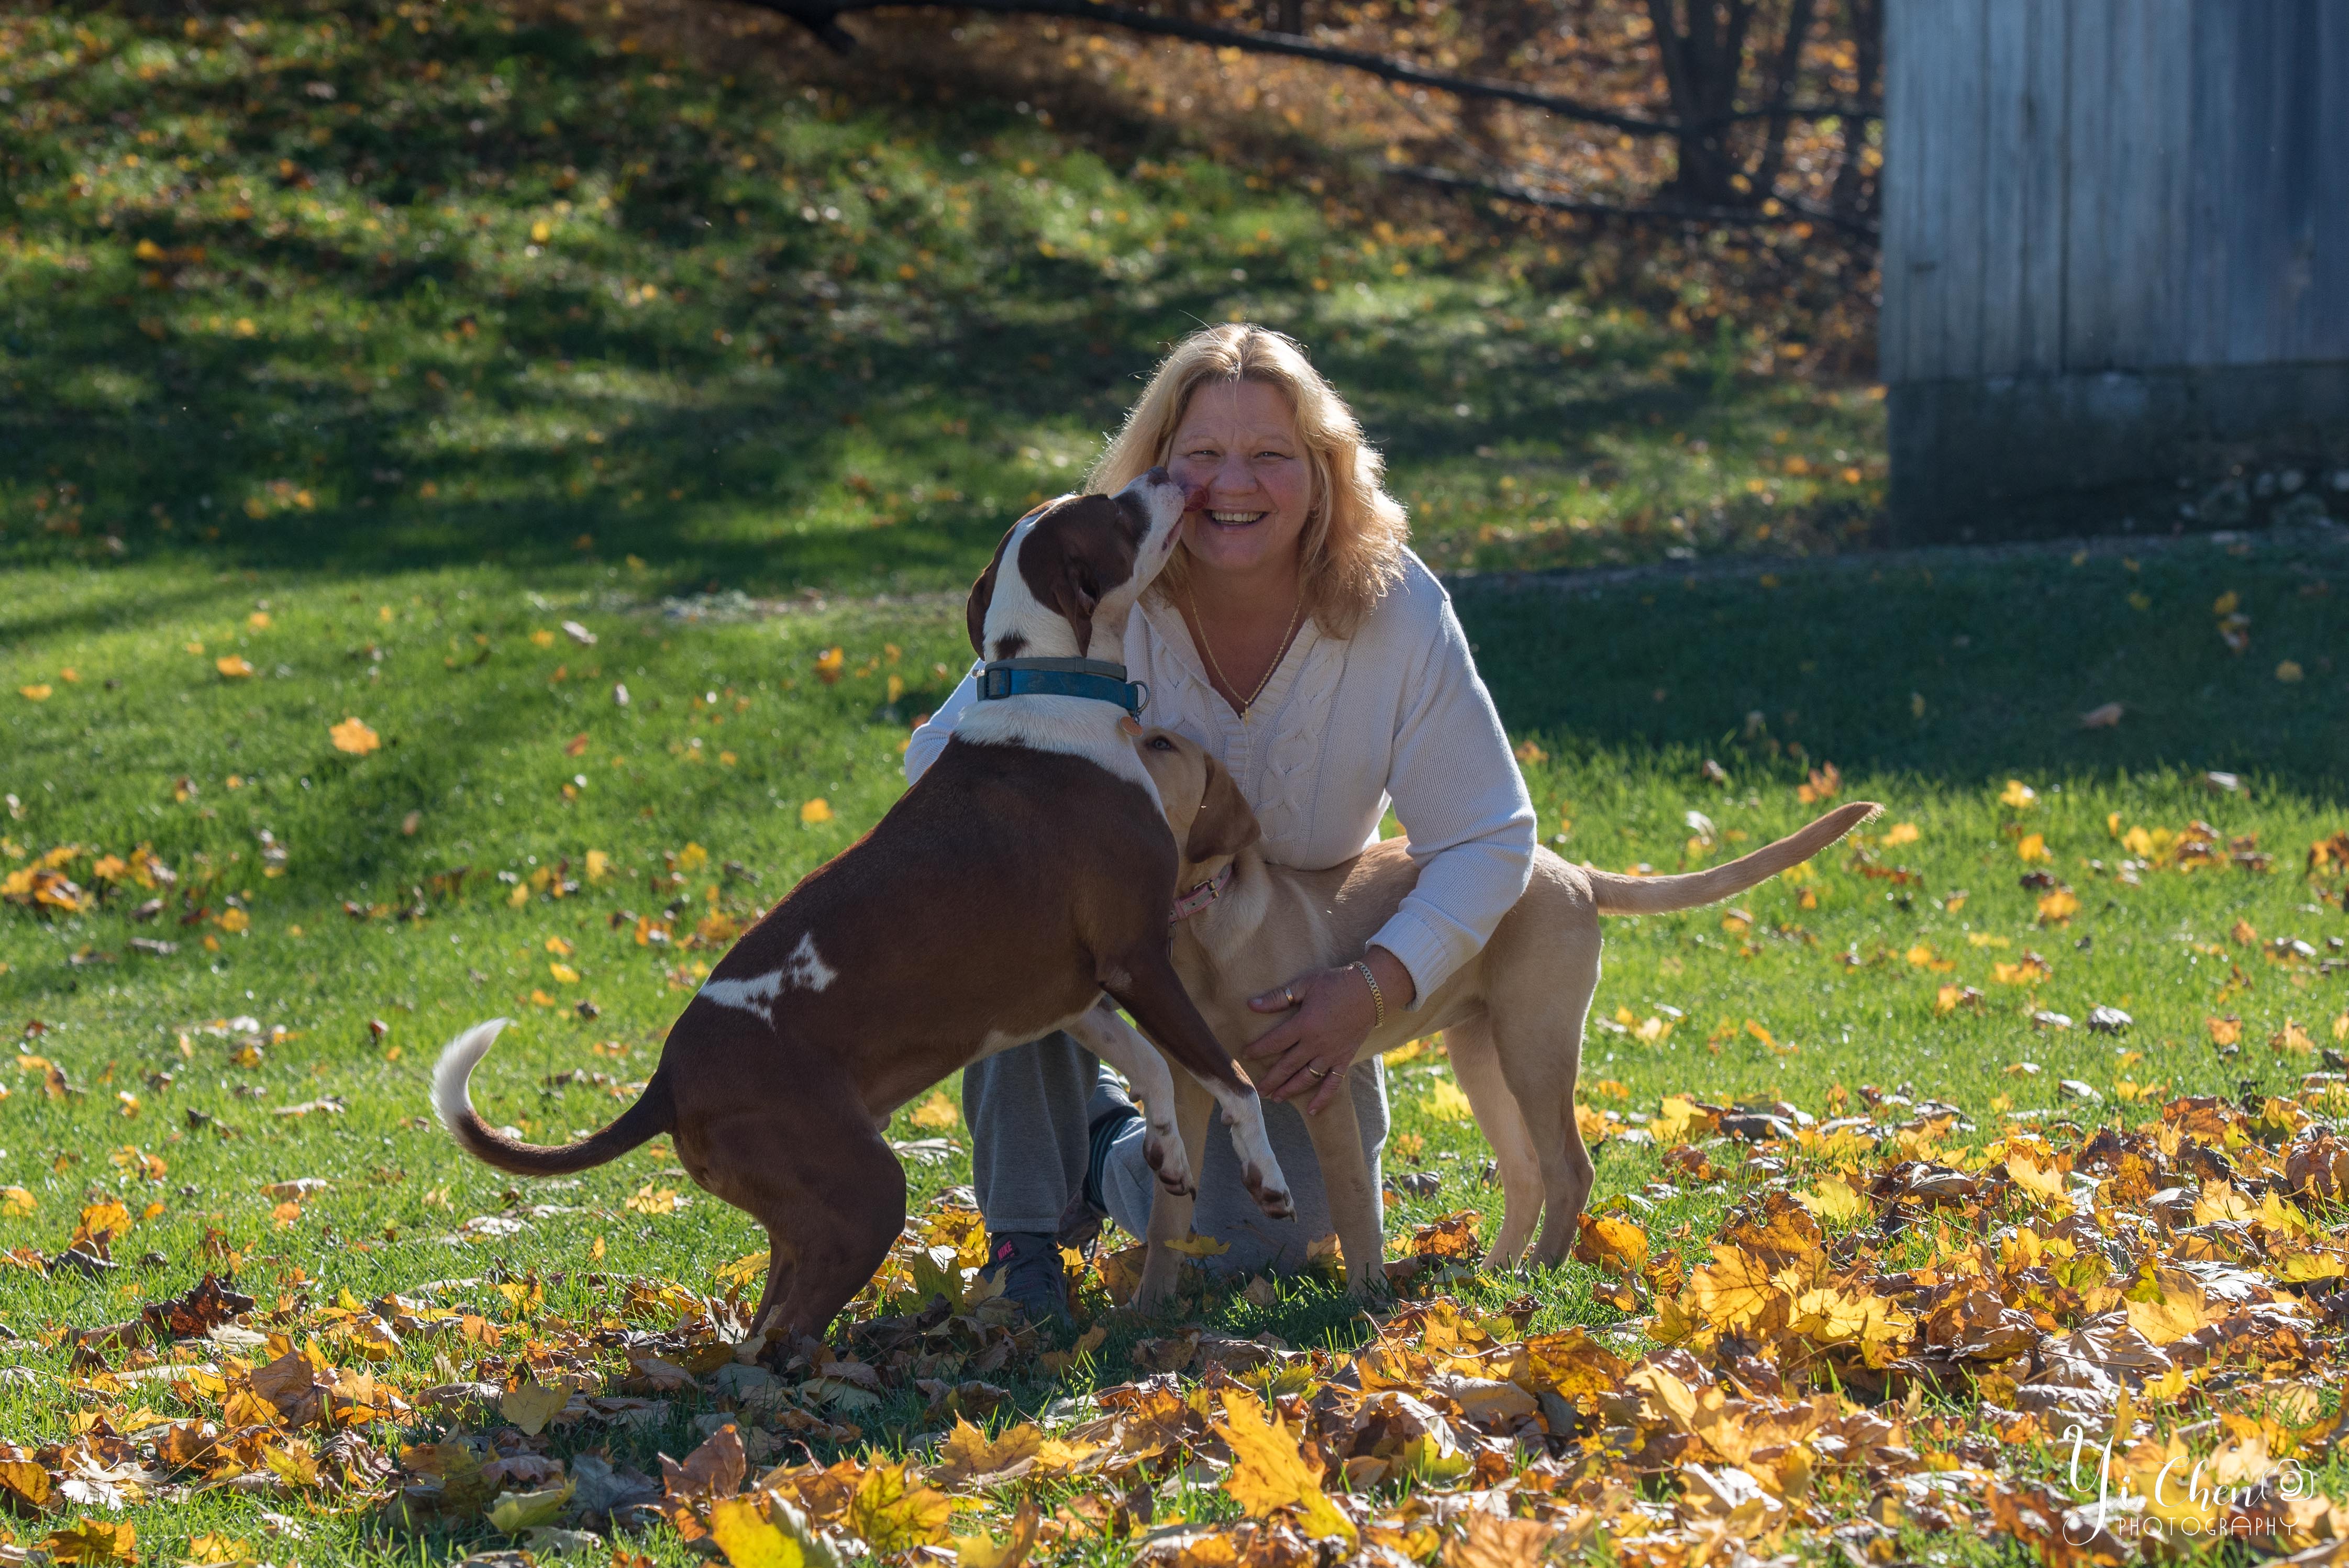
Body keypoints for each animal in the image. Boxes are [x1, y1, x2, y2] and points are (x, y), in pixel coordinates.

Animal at [429, 473, 1294, 1349]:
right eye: (1117, 512)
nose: (1172, 479)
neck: (1052, 686)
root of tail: (668, 1076)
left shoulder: (1072, 996)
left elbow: (1151, 1067)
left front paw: (1170, 1154)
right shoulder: (1136, 957)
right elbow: (1231, 1079)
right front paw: (1266, 1174)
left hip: (809, 1210)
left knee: (769, 1320)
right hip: (867, 1192)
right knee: (783, 1337)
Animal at [1114, 730, 1875, 1306]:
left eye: (1157, 741)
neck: (1204, 923)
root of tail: (1573, 870)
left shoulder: (1319, 1075)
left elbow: (1352, 1195)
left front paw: (1362, 1301)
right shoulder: (1190, 1085)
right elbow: (1168, 1210)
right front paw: (1148, 1310)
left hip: (1533, 1044)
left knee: (1569, 1167)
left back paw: (1539, 1272)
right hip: (1480, 1051)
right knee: (1526, 1171)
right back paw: (1493, 1273)